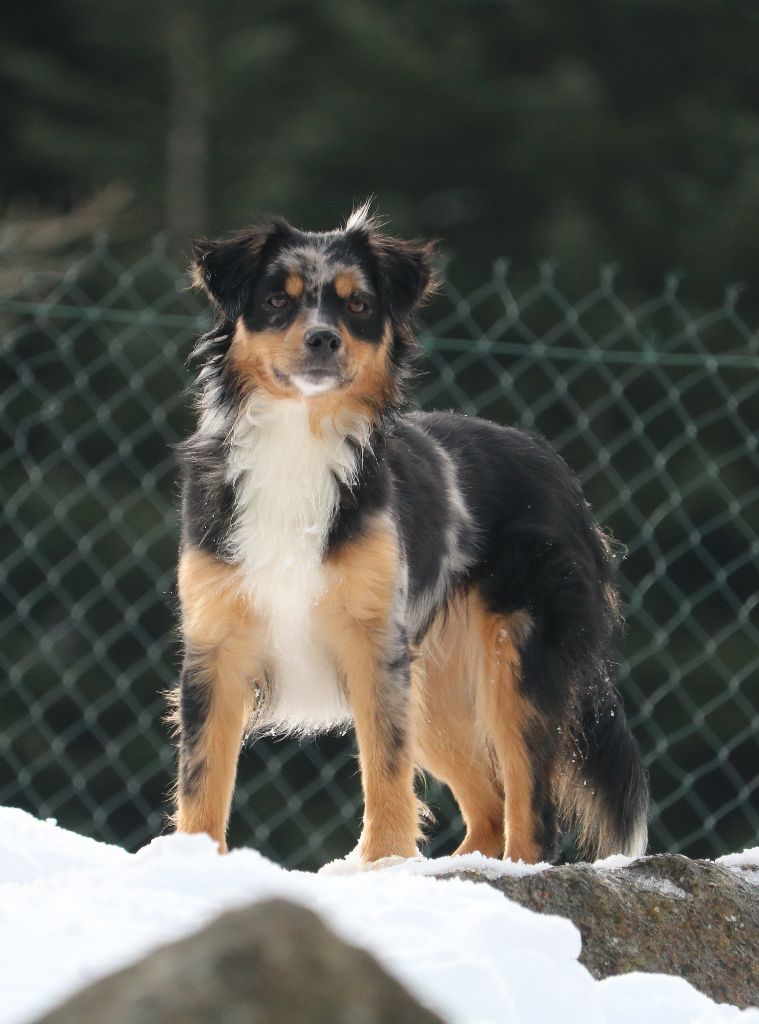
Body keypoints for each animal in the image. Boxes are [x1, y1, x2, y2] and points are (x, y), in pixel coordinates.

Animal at [170, 205, 647, 864]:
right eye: (276, 300)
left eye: (359, 305)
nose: (323, 339)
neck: (299, 435)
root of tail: (560, 471)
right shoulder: (215, 645)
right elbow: (202, 780)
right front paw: (190, 865)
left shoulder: (375, 644)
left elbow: (385, 769)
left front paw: (382, 864)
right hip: (437, 685)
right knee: (490, 803)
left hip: (517, 660)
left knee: (531, 806)